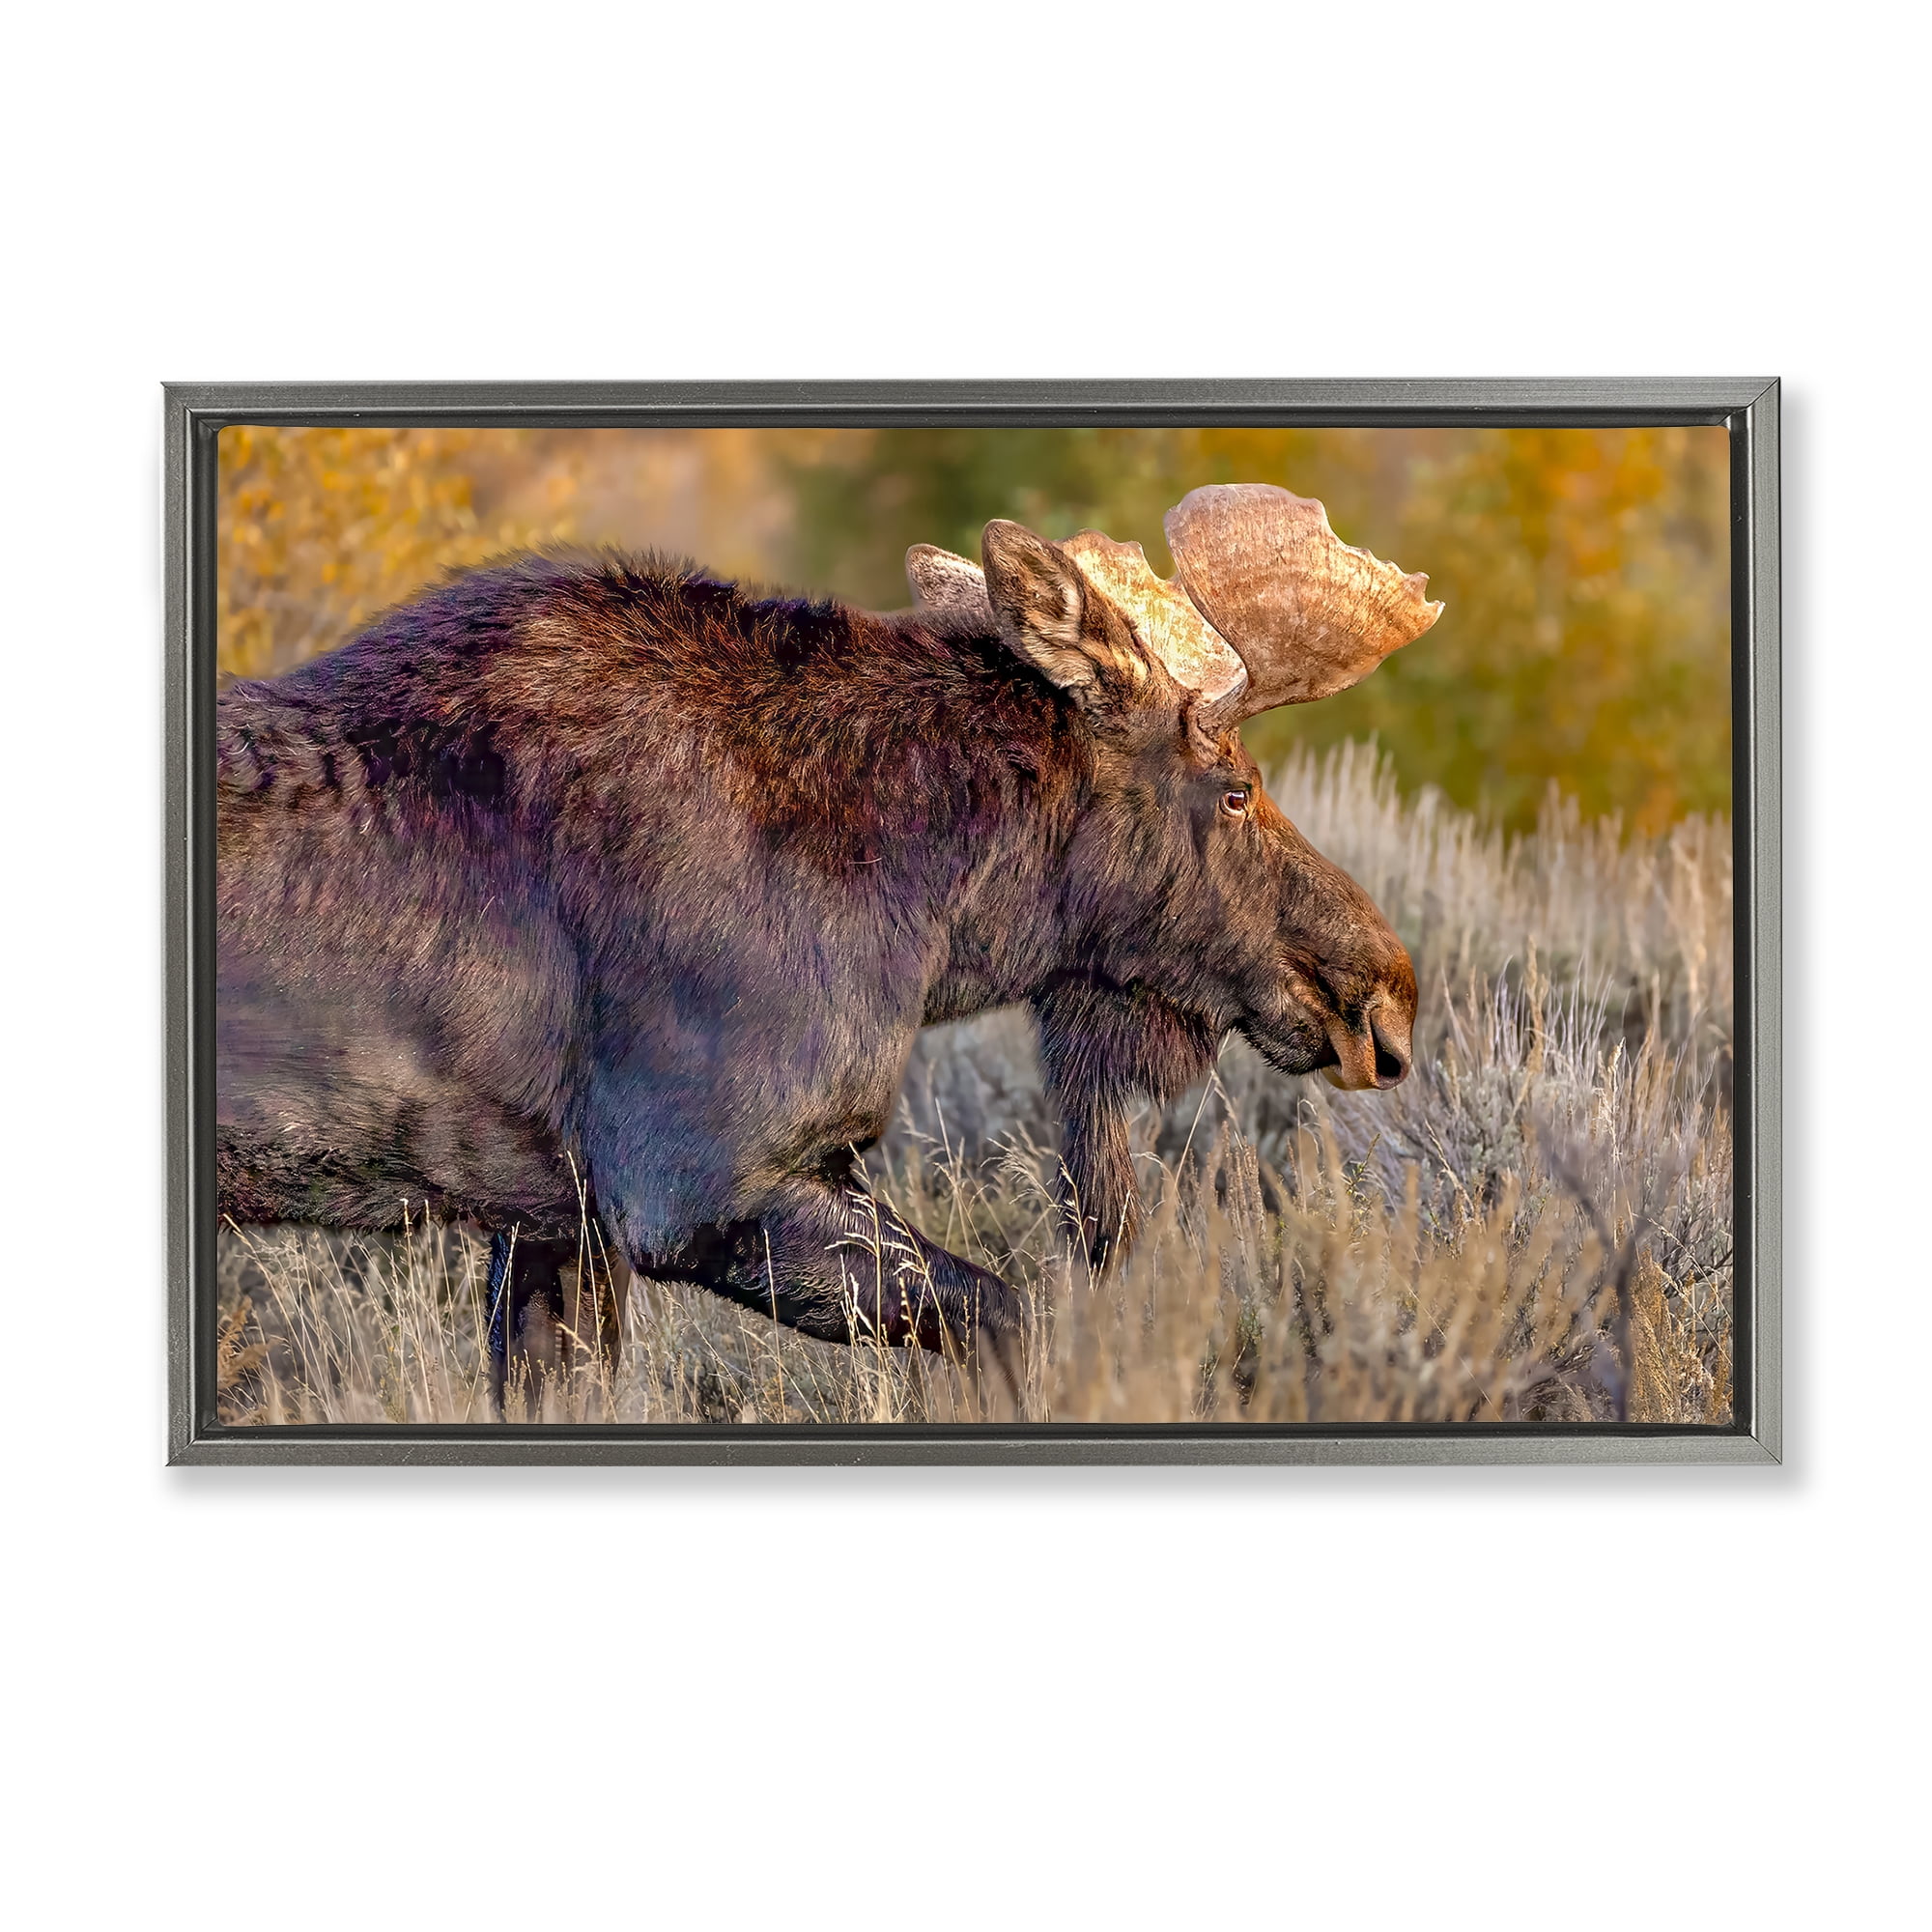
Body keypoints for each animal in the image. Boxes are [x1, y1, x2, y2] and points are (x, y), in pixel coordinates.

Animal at [215, 483, 1441, 1409]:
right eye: (1232, 786)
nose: (1383, 993)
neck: (932, 919)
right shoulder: (696, 1185)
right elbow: (1014, 1317)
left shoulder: (555, 1223)